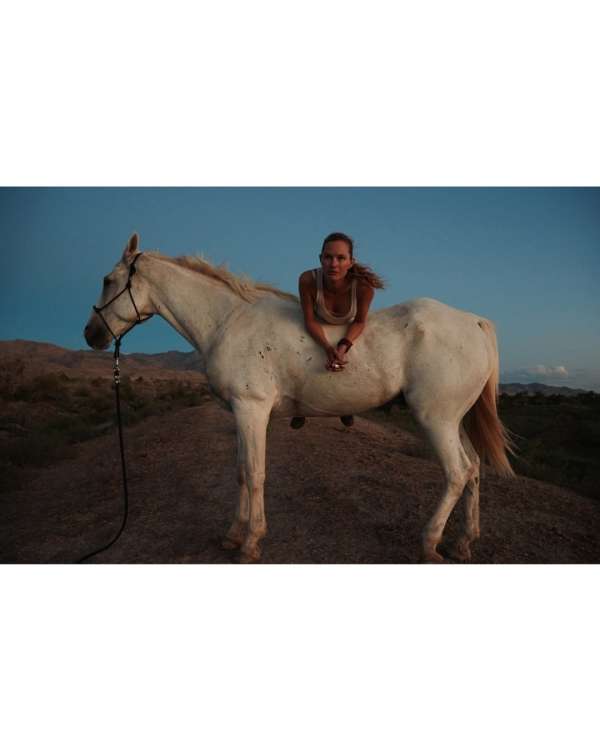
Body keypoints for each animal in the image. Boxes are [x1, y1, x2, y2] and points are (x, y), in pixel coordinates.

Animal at [84, 233, 515, 563]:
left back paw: (430, 543)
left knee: (457, 472)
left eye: (107, 280)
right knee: (474, 468)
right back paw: (463, 543)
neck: (228, 321)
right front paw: (233, 535)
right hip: (453, 420)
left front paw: (251, 543)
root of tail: (474, 321)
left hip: (435, 419)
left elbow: (254, 473)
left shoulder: (252, 410)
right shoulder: (241, 414)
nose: (92, 334)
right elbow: (240, 471)